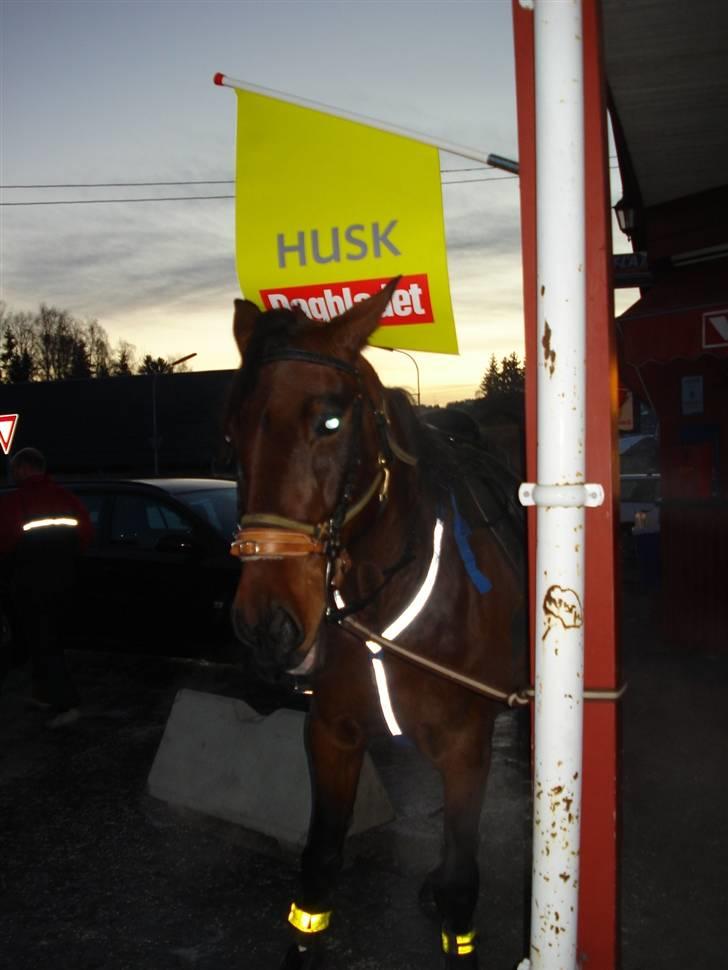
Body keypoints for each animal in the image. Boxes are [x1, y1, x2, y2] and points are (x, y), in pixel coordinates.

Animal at [226, 276, 524, 964]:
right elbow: (317, 873)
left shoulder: (467, 750)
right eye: (231, 431)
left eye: (330, 421)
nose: (266, 622)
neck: (387, 605)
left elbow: (461, 890)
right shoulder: (332, 736)